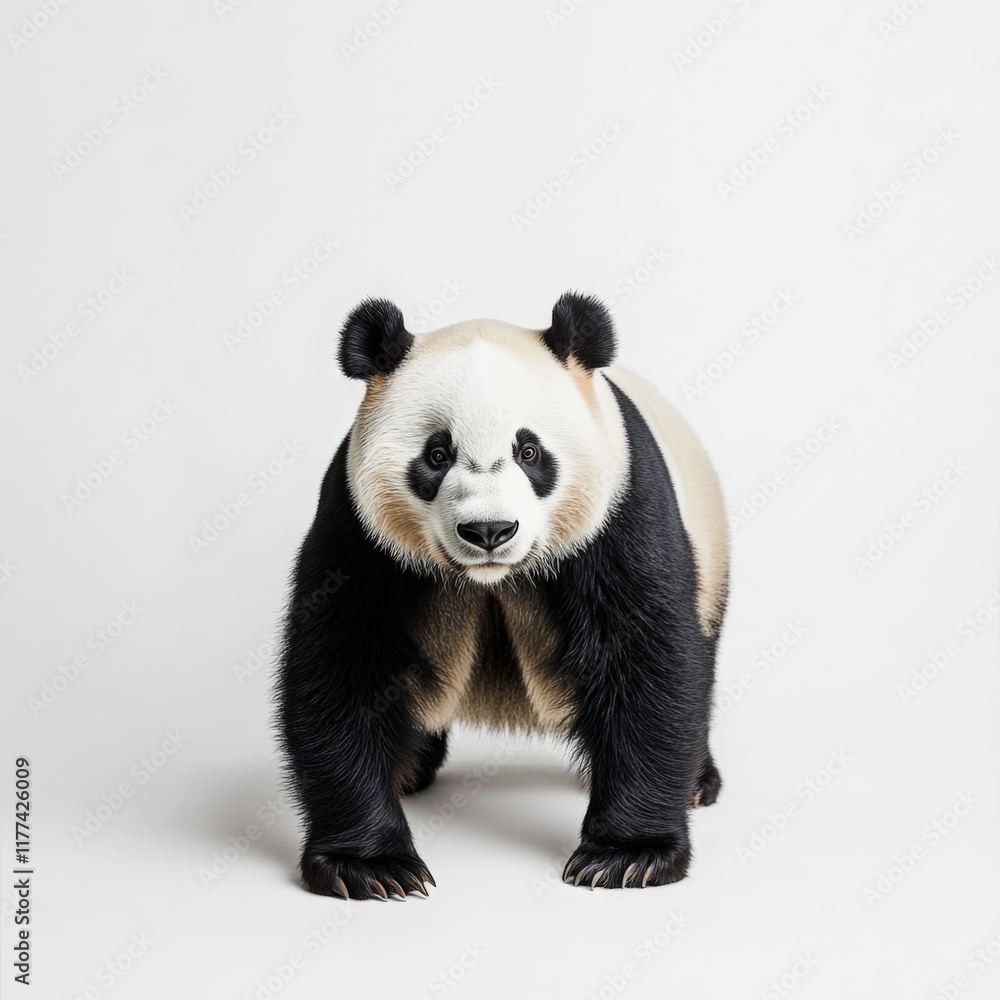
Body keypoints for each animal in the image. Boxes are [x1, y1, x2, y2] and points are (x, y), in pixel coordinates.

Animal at [277, 292, 728, 899]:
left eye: (529, 451)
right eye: (437, 454)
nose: (489, 530)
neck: (494, 578)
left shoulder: (620, 512)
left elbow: (647, 663)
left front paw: (627, 858)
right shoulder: (360, 532)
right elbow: (344, 666)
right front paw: (370, 867)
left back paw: (699, 783)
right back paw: (410, 769)